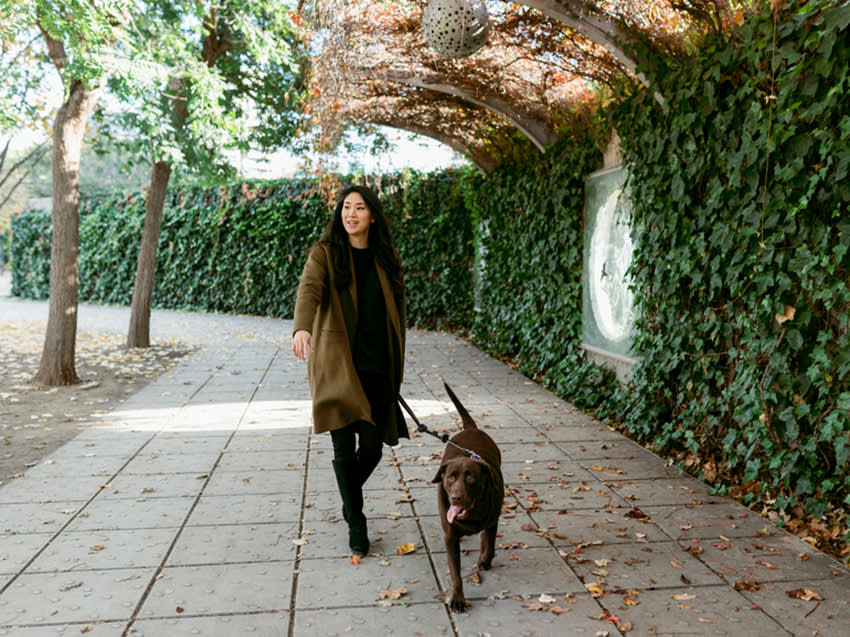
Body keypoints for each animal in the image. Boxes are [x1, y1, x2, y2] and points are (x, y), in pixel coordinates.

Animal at [430, 382, 504, 612]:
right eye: (450, 478)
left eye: (471, 477)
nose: (455, 497)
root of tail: (471, 429)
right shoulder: (450, 536)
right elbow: (455, 573)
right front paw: (457, 598)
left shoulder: (493, 518)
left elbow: (490, 543)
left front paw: (485, 560)